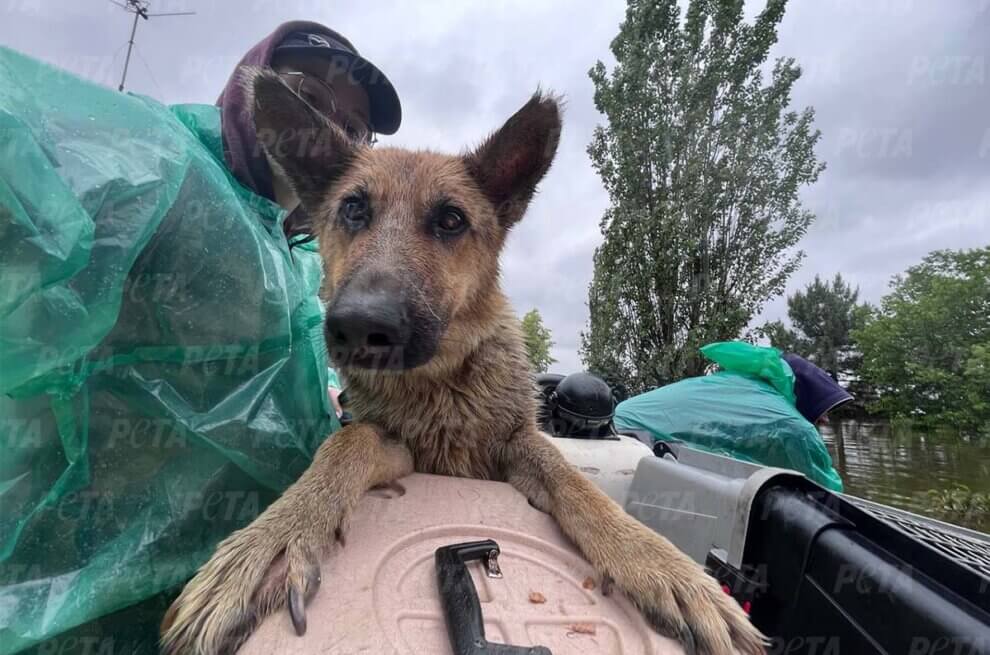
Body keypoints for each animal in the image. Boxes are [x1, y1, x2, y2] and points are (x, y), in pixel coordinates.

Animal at [161, 68, 768, 655]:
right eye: (353, 209)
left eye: (451, 220)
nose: (359, 326)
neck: (441, 385)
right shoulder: (394, 446)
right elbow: (346, 443)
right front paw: (272, 539)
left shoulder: (518, 446)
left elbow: (574, 481)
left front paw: (660, 563)